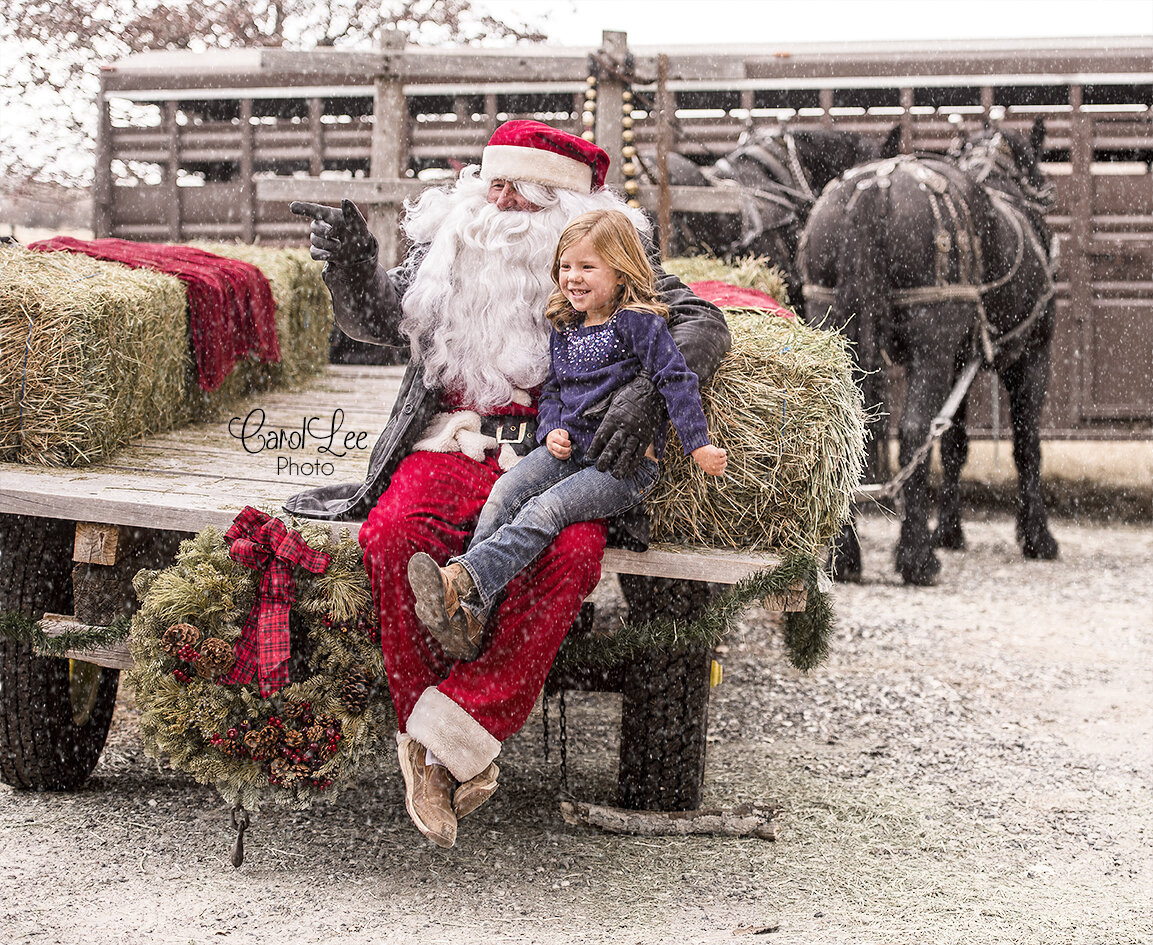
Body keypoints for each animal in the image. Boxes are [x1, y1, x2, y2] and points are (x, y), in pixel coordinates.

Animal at [797, 119, 1056, 583]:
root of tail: (875, 187)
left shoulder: (958, 362)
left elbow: (954, 445)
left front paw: (949, 530)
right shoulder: (1031, 356)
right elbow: (1027, 445)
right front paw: (1037, 536)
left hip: (833, 327)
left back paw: (847, 558)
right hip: (932, 343)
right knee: (915, 430)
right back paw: (916, 558)